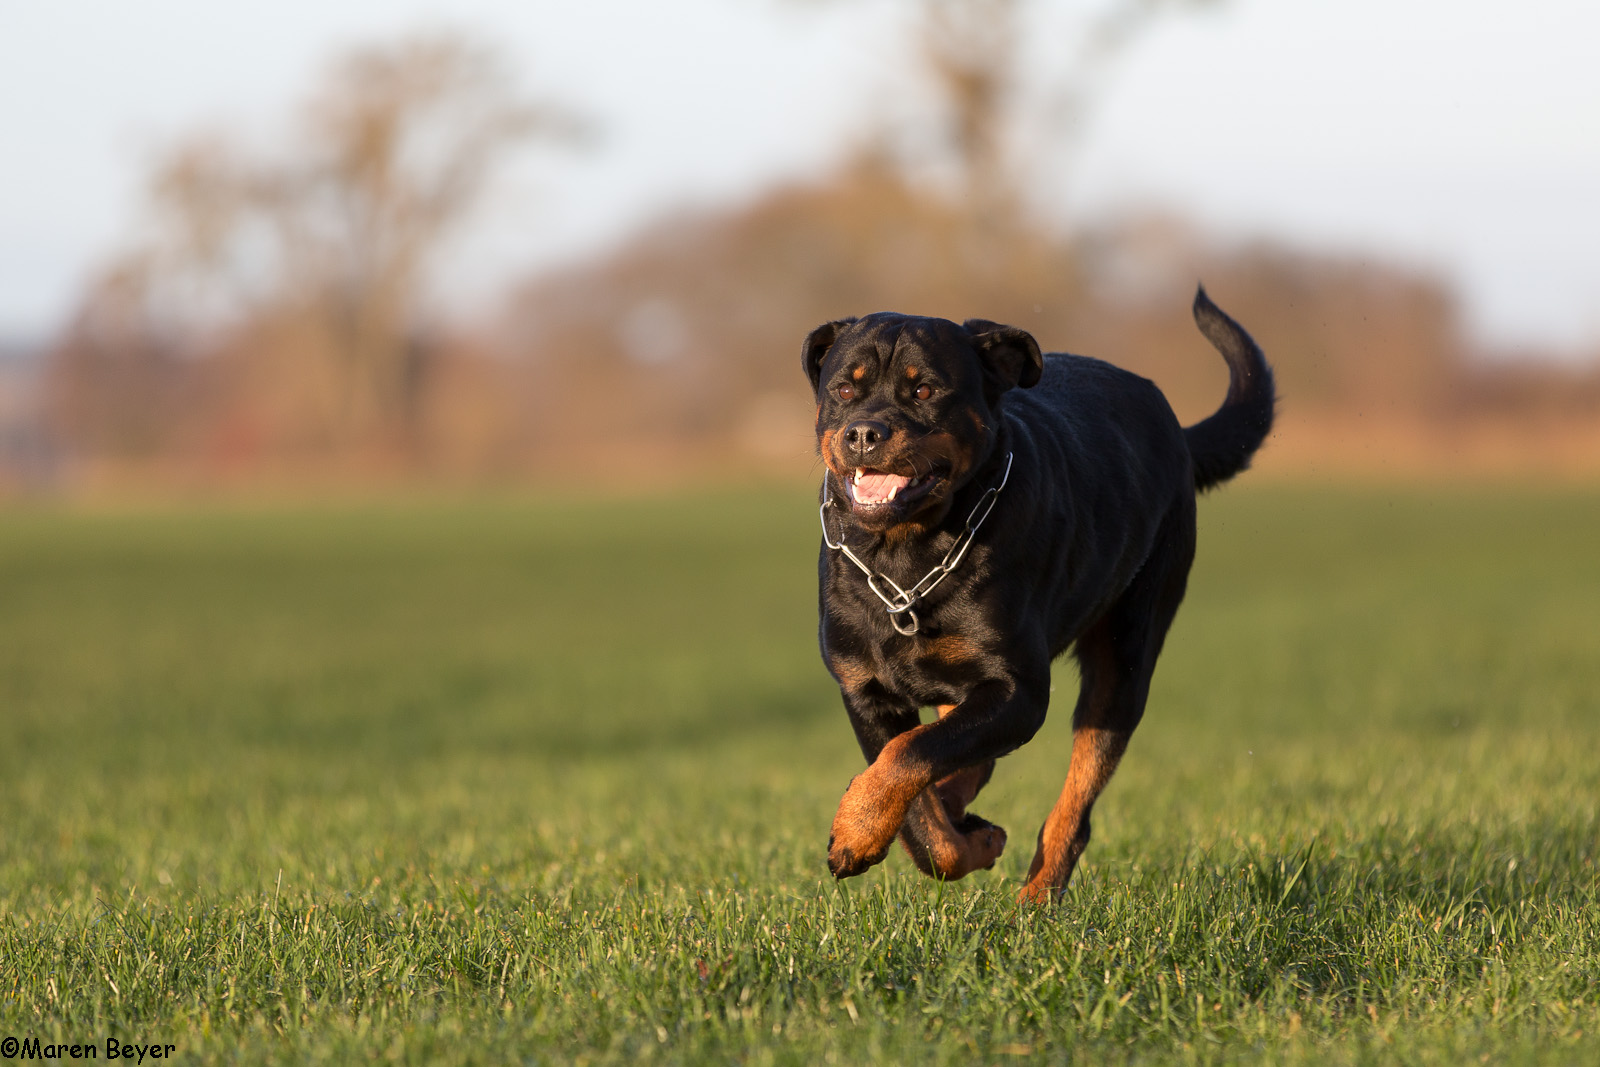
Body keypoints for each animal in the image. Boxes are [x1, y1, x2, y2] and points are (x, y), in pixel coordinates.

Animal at [806, 289, 1267, 902]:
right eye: (843, 391)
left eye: (924, 391)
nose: (863, 431)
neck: (906, 555)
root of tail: (1175, 428)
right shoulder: (866, 690)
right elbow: (921, 812)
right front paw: (937, 835)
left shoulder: (1017, 692)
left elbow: (912, 755)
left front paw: (860, 832)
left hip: (1124, 664)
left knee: (1075, 805)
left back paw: (1036, 898)